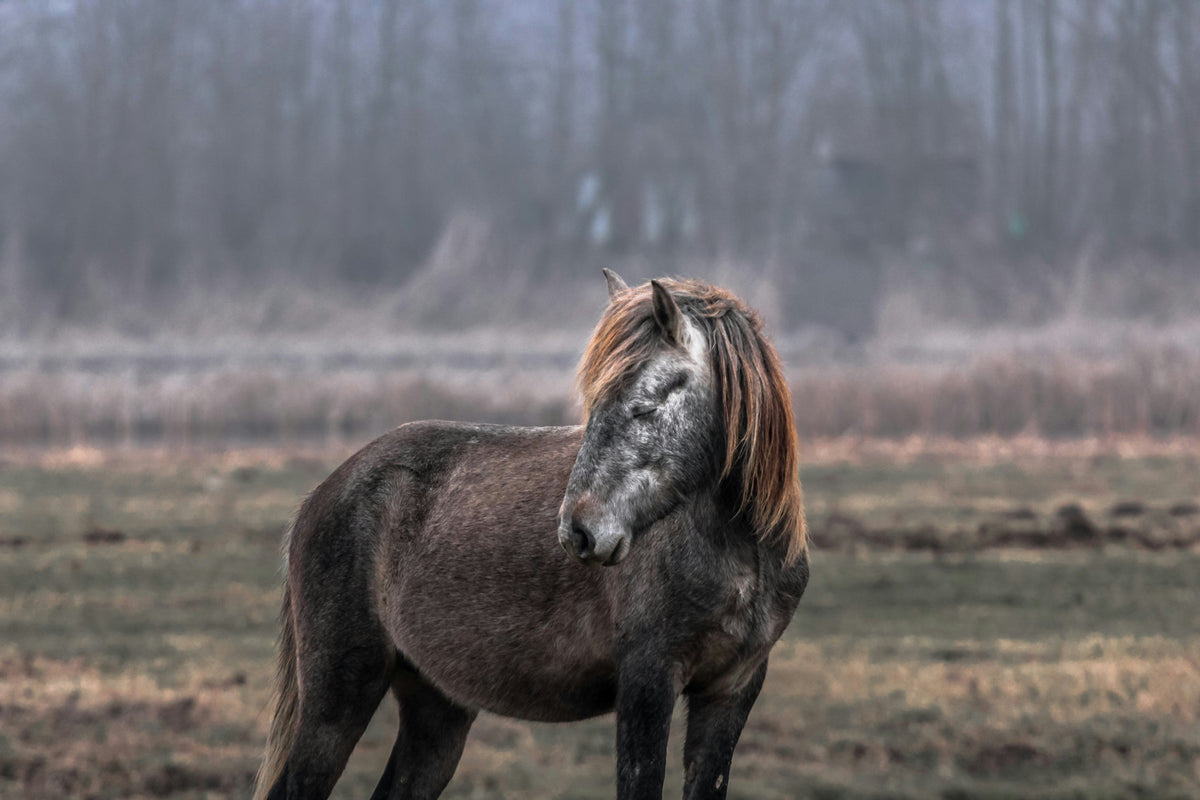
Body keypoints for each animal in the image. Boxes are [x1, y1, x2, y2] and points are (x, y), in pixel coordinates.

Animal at [253, 271, 809, 800]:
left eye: (646, 407)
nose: (578, 531)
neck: (742, 556)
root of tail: (325, 493)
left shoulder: (730, 691)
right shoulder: (648, 684)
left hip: (437, 706)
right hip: (339, 697)